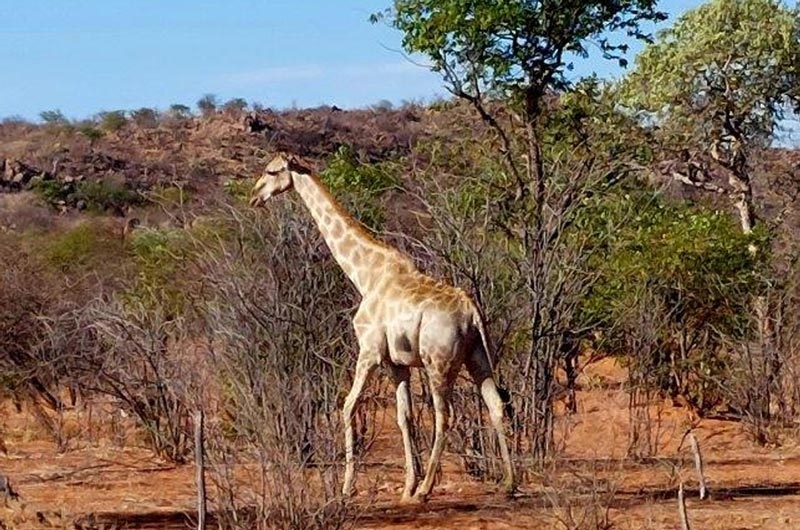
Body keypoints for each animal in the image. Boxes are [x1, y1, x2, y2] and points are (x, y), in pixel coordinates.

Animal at [247, 152, 516, 500]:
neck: (365, 276)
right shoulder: (396, 363)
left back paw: (427, 489)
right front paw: (407, 485)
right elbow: (405, 417)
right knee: (495, 404)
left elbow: (347, 406)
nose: (255, 196)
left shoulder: (370, 352)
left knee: (445, 416)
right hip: (478, 355)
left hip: (438, 362)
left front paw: (347, 486)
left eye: (272, 171)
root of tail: (471, 312)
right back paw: (509, 482)